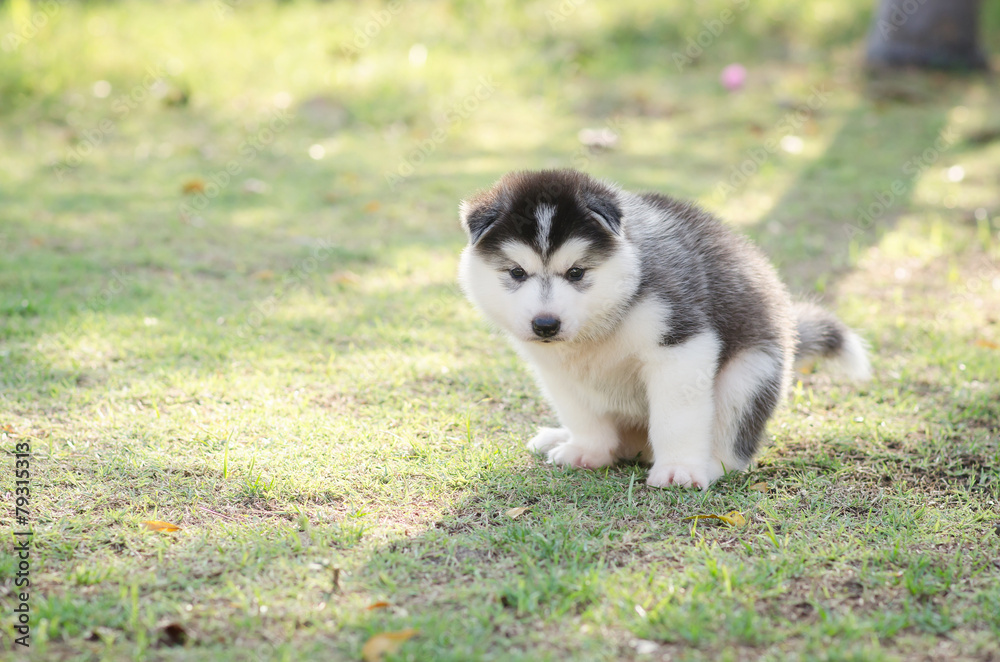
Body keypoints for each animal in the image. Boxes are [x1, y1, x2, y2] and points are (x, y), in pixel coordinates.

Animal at [458, 170, 872, 492]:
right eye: (517, 273)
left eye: (576, 272)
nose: (545, 324)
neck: (600, 322)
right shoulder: (555, 368)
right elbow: (581, 413)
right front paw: (588, 450)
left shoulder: (682, 345)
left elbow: (676, 417)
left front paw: (678, 470)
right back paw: (560, 437)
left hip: (751, 373)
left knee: (733, 447)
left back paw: (710, 465)